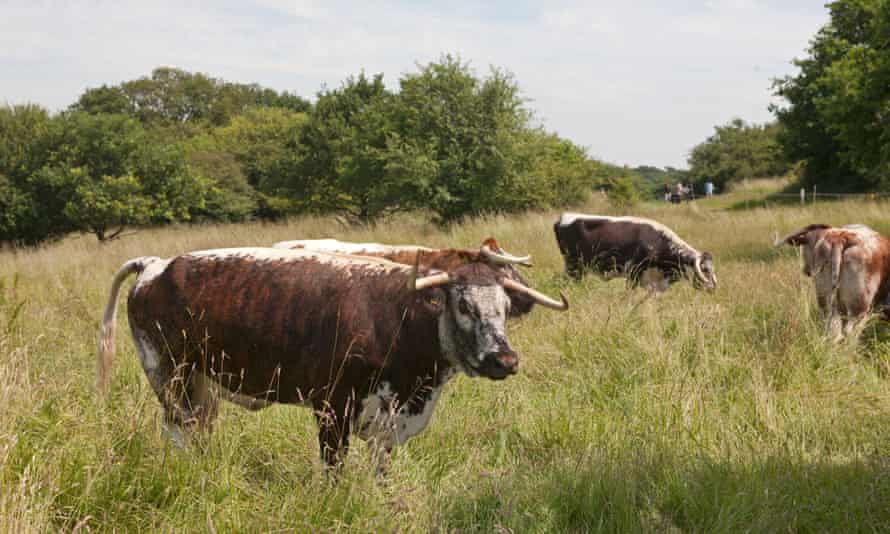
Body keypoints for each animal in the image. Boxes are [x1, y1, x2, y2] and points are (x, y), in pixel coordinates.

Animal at [99, 247, 568, 468]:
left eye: (504, 307)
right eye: (464, 306)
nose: (505, 360)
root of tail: (156, 264)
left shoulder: (387, 423)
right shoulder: (331, 409)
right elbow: (334, 468)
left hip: (201, 386)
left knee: (198, 432)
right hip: (168, 376)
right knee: (178, 431)